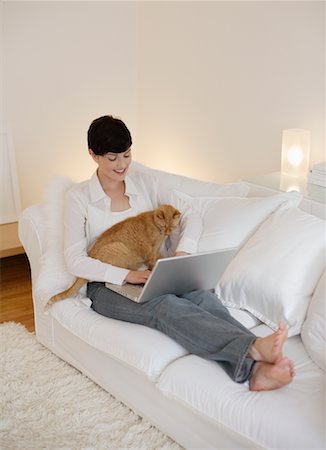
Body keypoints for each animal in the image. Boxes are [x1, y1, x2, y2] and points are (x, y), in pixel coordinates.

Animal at [45, 206, 181, 308]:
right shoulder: (150, 252)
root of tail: (91, 253)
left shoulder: (156, 251)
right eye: (164, 226)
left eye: (172, 227)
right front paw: (151, 272)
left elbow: (161, 257)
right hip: (119, 249)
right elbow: (152, 263)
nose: (168, 233)